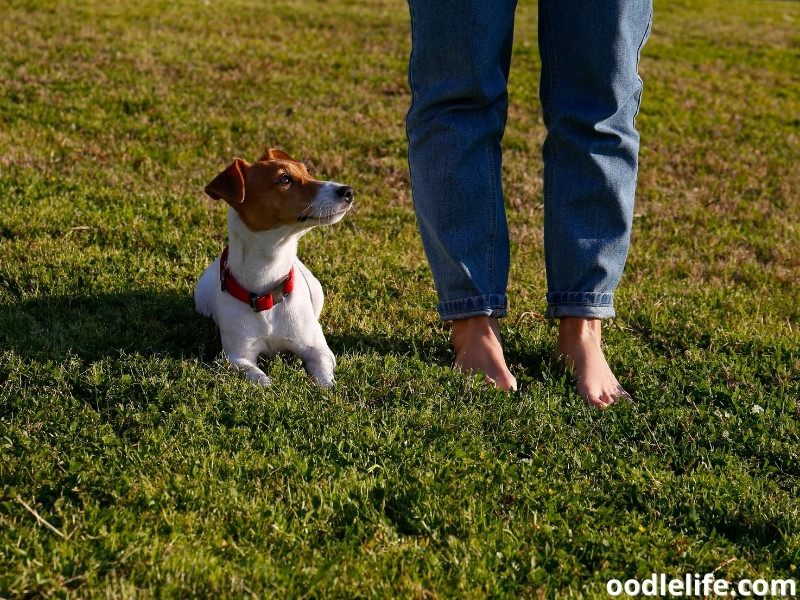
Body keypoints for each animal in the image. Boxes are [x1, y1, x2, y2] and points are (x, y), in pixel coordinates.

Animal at [194, 148, 354, 386]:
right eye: (284, 179)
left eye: (307, 171)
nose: (348, 191)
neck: (267, 289)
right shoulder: (238, 357)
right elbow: (261, 379)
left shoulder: (319, 350)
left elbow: (324, 377)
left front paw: (327, 389)